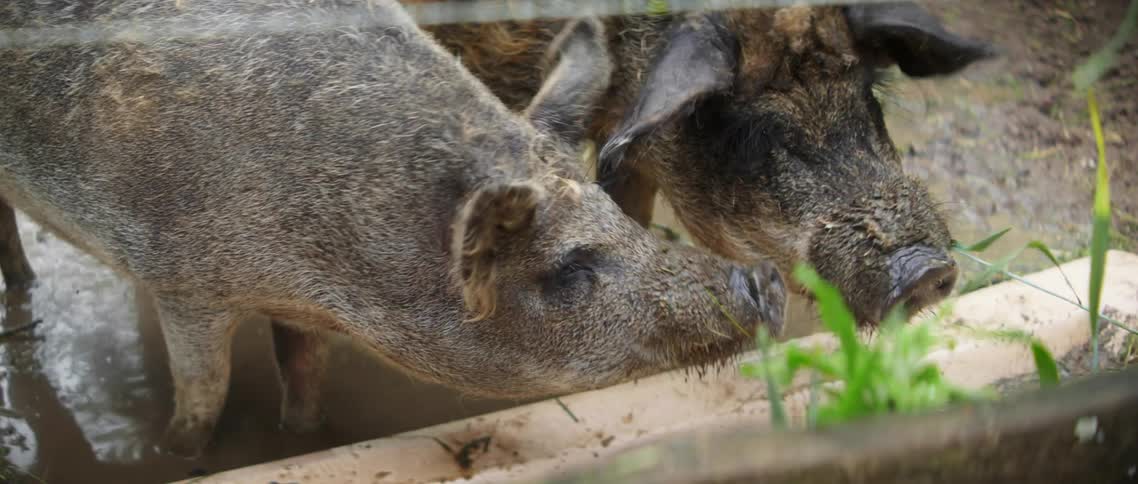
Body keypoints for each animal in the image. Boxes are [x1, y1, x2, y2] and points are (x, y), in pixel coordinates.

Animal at [0, 0, 786, 458]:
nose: (764, 280)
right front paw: (179, 454)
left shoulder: (298, 307)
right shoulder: (182, 284)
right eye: (570, 270)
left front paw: (306, 439)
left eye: (610, 206)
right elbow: (201, 397)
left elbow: (305, 386)